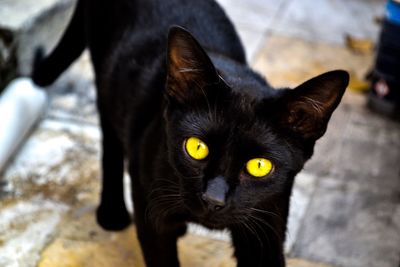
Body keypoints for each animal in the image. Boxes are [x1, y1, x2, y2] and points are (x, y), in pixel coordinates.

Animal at [32, 1, 348, 266]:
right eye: (197, 147)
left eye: (260, 166)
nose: (214, 199)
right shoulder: (152, 215)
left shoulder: (266, 225)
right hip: (107, 84)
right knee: (111, 141)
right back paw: (112, 212)